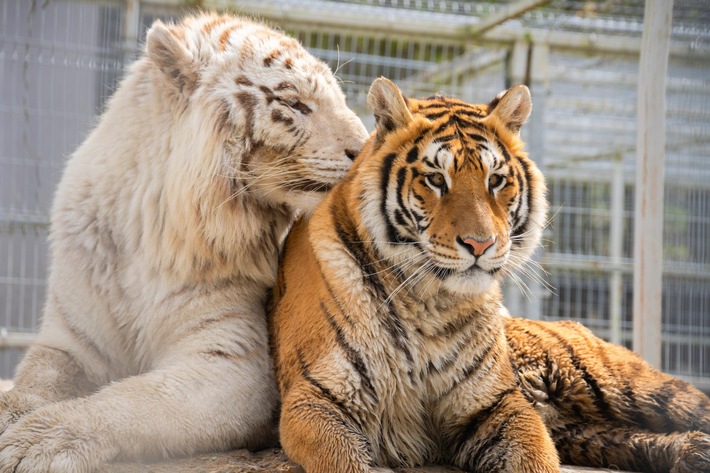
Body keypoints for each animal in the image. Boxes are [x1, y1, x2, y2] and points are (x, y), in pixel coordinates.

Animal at [0, 12, 367, 472]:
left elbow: (132, 399)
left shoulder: (232, 361)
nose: (366, 145)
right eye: (295, 103)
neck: (152, 229)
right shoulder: (71, 338)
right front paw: (14, 415)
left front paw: (38, 439)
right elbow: (38, 375)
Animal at [268, 77, 710, 473]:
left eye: (495, 180)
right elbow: (344, 459)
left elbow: (534, 458)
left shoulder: (495, 403)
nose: (479, 244)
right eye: (435, 179)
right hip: (581, 429)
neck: (430, 306)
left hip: (613, 379)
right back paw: (694, 452)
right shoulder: (315, 397)